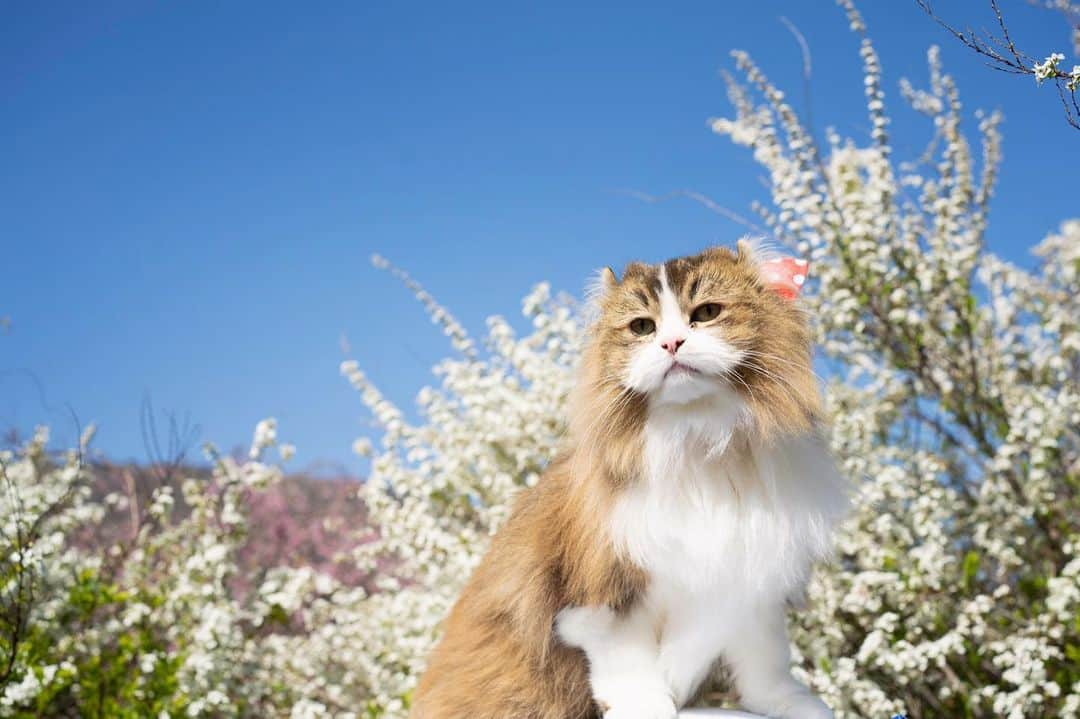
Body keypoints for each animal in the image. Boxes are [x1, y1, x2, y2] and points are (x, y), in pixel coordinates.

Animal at [408, 241, 846, 716]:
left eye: (707, 312)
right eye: (642, 327)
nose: (671, 343)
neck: (697, 438)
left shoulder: (754, 584)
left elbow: (766, 663)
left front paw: (797, 704)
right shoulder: (603, 593)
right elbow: (627, 662)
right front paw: (646, 706)